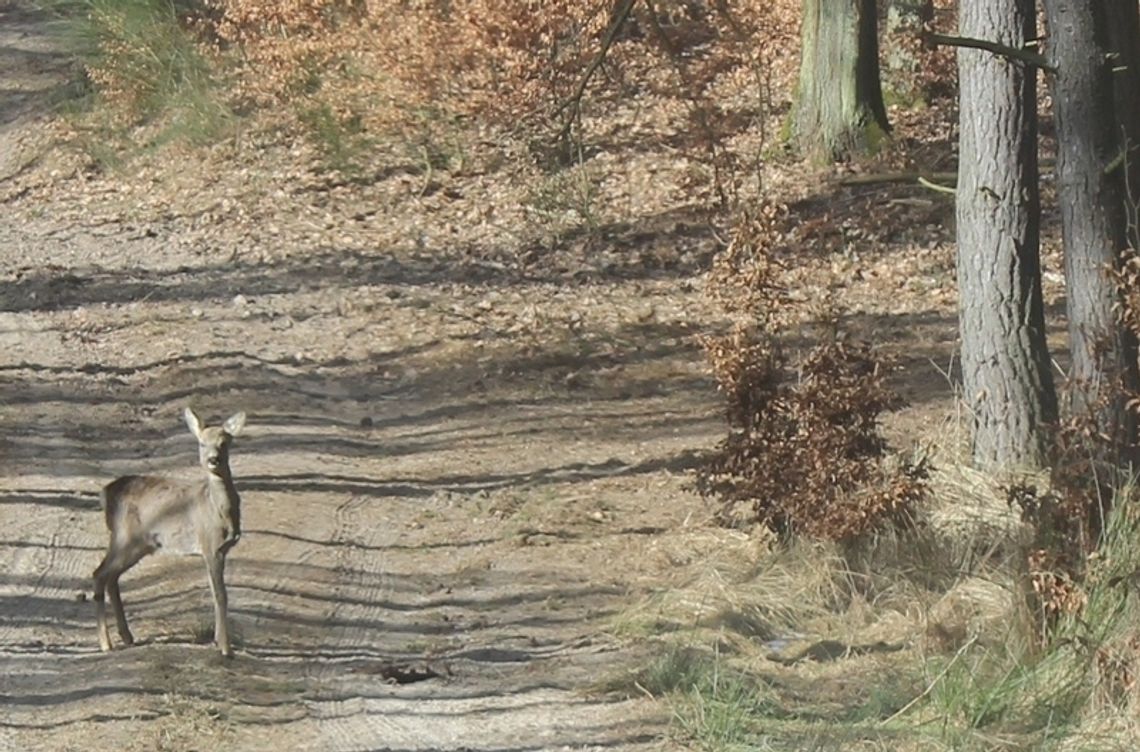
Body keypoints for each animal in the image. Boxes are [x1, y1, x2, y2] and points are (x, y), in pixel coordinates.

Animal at [93, 405, 247, 656]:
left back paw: (127, 636)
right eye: (202, 443)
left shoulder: (221, 550)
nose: (213, 460)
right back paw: (106, 644)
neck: (218, 509)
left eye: (224, 443)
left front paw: (218, 641)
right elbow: (220, 595)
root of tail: (105, 494)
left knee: (111, 577)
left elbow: (217, 593)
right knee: (99, 574)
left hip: (138, 545)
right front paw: (226, 649)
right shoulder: (209, 545)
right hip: (124, 537)